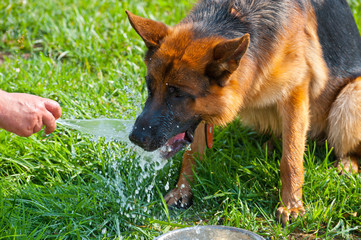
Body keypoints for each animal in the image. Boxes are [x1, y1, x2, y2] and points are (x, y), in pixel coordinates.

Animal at [125, 0, 358, 225]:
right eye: (150, 87)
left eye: (178, 94)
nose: (135, 137)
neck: (237, 14)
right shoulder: (202, 113)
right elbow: (191, 154)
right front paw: (182, 190)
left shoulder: (295, 91)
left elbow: (291, 158)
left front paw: (292, 205)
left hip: (350, 97)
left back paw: (346, 165)